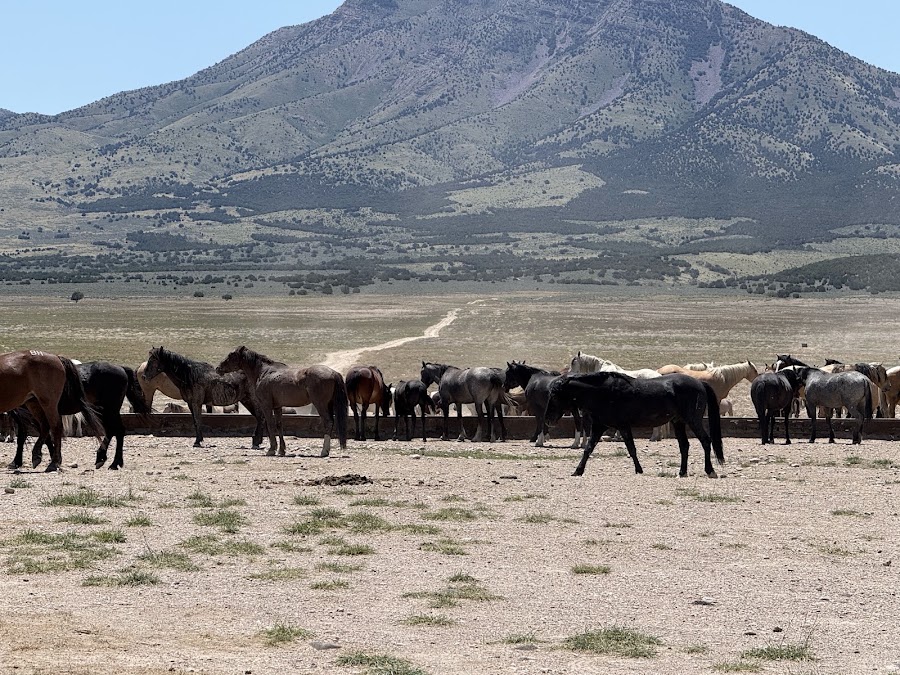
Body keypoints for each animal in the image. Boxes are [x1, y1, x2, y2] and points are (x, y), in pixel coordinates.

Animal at [10, 361, 150, 471]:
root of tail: (121, 368)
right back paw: (101, 458)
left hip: (111, 410)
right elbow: (34, 436)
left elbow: (37, 436)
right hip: (101, 411)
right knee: (111, 430)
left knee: (119, 431)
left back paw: (115, 463)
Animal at [216, 346, 348, 457]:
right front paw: (281, 450)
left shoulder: (266, 405)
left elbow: (270, 424)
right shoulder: (277, 407)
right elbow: (279, 425)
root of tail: (333, 372)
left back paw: (324, 451)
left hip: (320, 405)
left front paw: (272, 449)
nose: (218, 368)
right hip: (328, 405)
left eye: (231, 355)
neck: (264, 372)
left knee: (328, 422)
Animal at [544, 372, 724, 478]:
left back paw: (710, 471)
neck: (603, 393)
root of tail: (700, 383)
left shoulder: (622, 426)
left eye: (554, 395)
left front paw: (639, 469)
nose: (547, 419)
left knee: (706, 441)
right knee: (684, 446)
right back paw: (682, 472)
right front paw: (578, 470)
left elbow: (631, 448)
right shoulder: (599, 427)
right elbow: (588, 448)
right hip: (678, 422)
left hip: (693, 420)